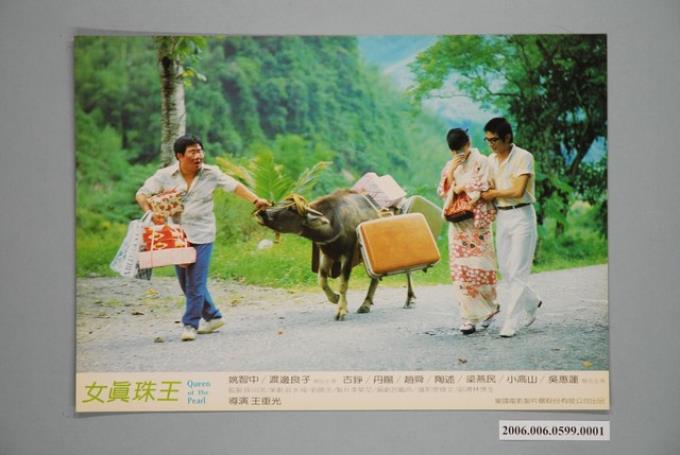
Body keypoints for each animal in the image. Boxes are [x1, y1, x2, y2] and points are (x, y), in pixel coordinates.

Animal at [256, 190, 416, 320]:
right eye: (280, 203)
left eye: (292, 208)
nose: (262, 213)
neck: (333, 224)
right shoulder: (327, 255)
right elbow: (321, 279)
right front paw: (334, 298)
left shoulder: (348, 254)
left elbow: (343, 284)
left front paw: (341, 310)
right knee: (375, 278)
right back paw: (365, 305)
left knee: (407, 272)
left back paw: (409, 299)